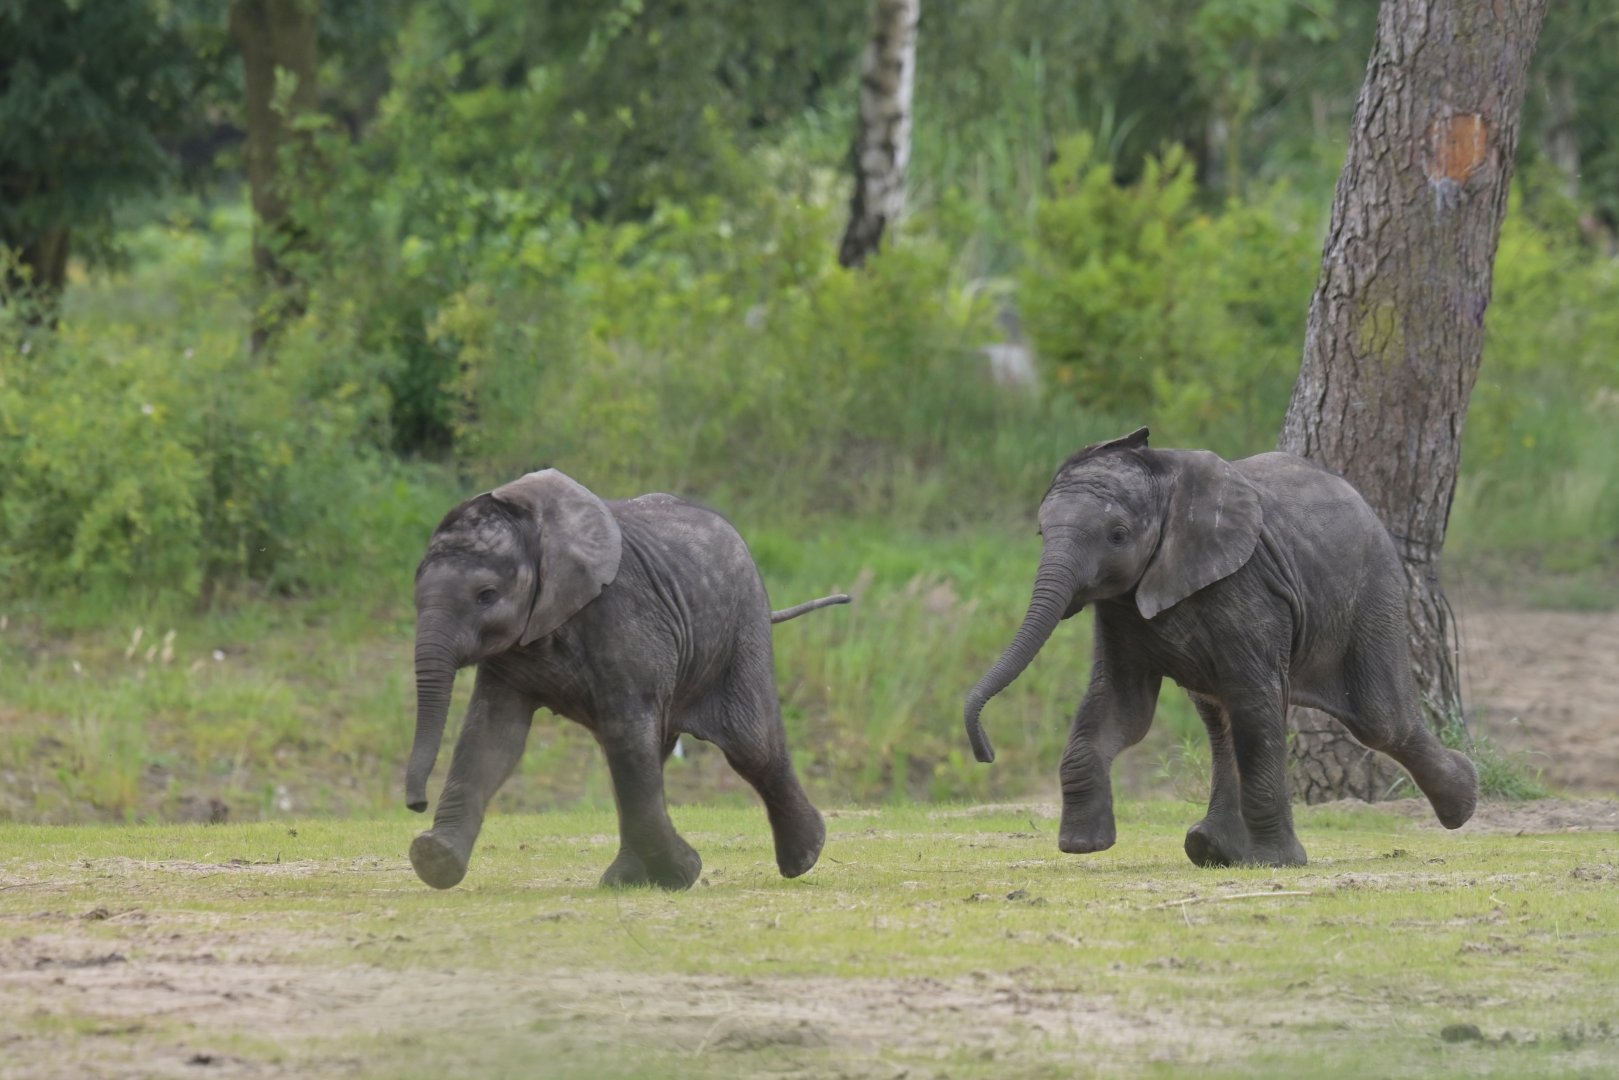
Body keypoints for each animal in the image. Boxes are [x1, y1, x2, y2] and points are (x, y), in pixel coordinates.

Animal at [405, 468, 847, 891]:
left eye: (486, 595)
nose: (415, 805)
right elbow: (492, 737)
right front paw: (434, 859)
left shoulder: (623, 616)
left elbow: (627, 733)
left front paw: (683, 874)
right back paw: (624, 880)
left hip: (741, 629)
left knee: (750, 745)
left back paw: (804, 857)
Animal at [963, 428, 1477, 868]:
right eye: (1040, 534)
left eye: (1117, 535)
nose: (985, 753)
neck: (1167, 484)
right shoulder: (1119, 609)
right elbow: (1120, 707)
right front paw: (1082, 846)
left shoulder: (1247, 587)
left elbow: (1255, 703)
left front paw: (1279, 864)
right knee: (1221, 719)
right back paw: (1209, 850)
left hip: (1373, 592)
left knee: (1379, 719)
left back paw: (1465, 800)